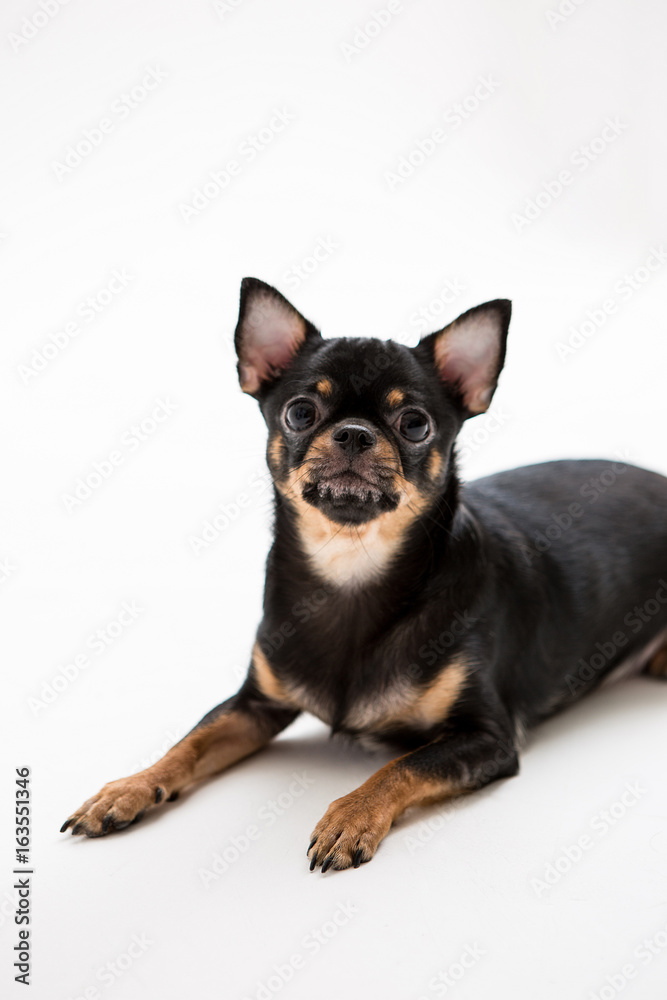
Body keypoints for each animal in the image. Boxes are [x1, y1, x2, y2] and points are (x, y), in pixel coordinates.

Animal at [61, 278, 667, 872]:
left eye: (415, 424)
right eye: (300, 412)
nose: (353, 433)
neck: (351, 575)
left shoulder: (487, 736)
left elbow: (402, 765)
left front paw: (351, 816)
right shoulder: (254, 705)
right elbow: (187, 744)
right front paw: (127, 789)